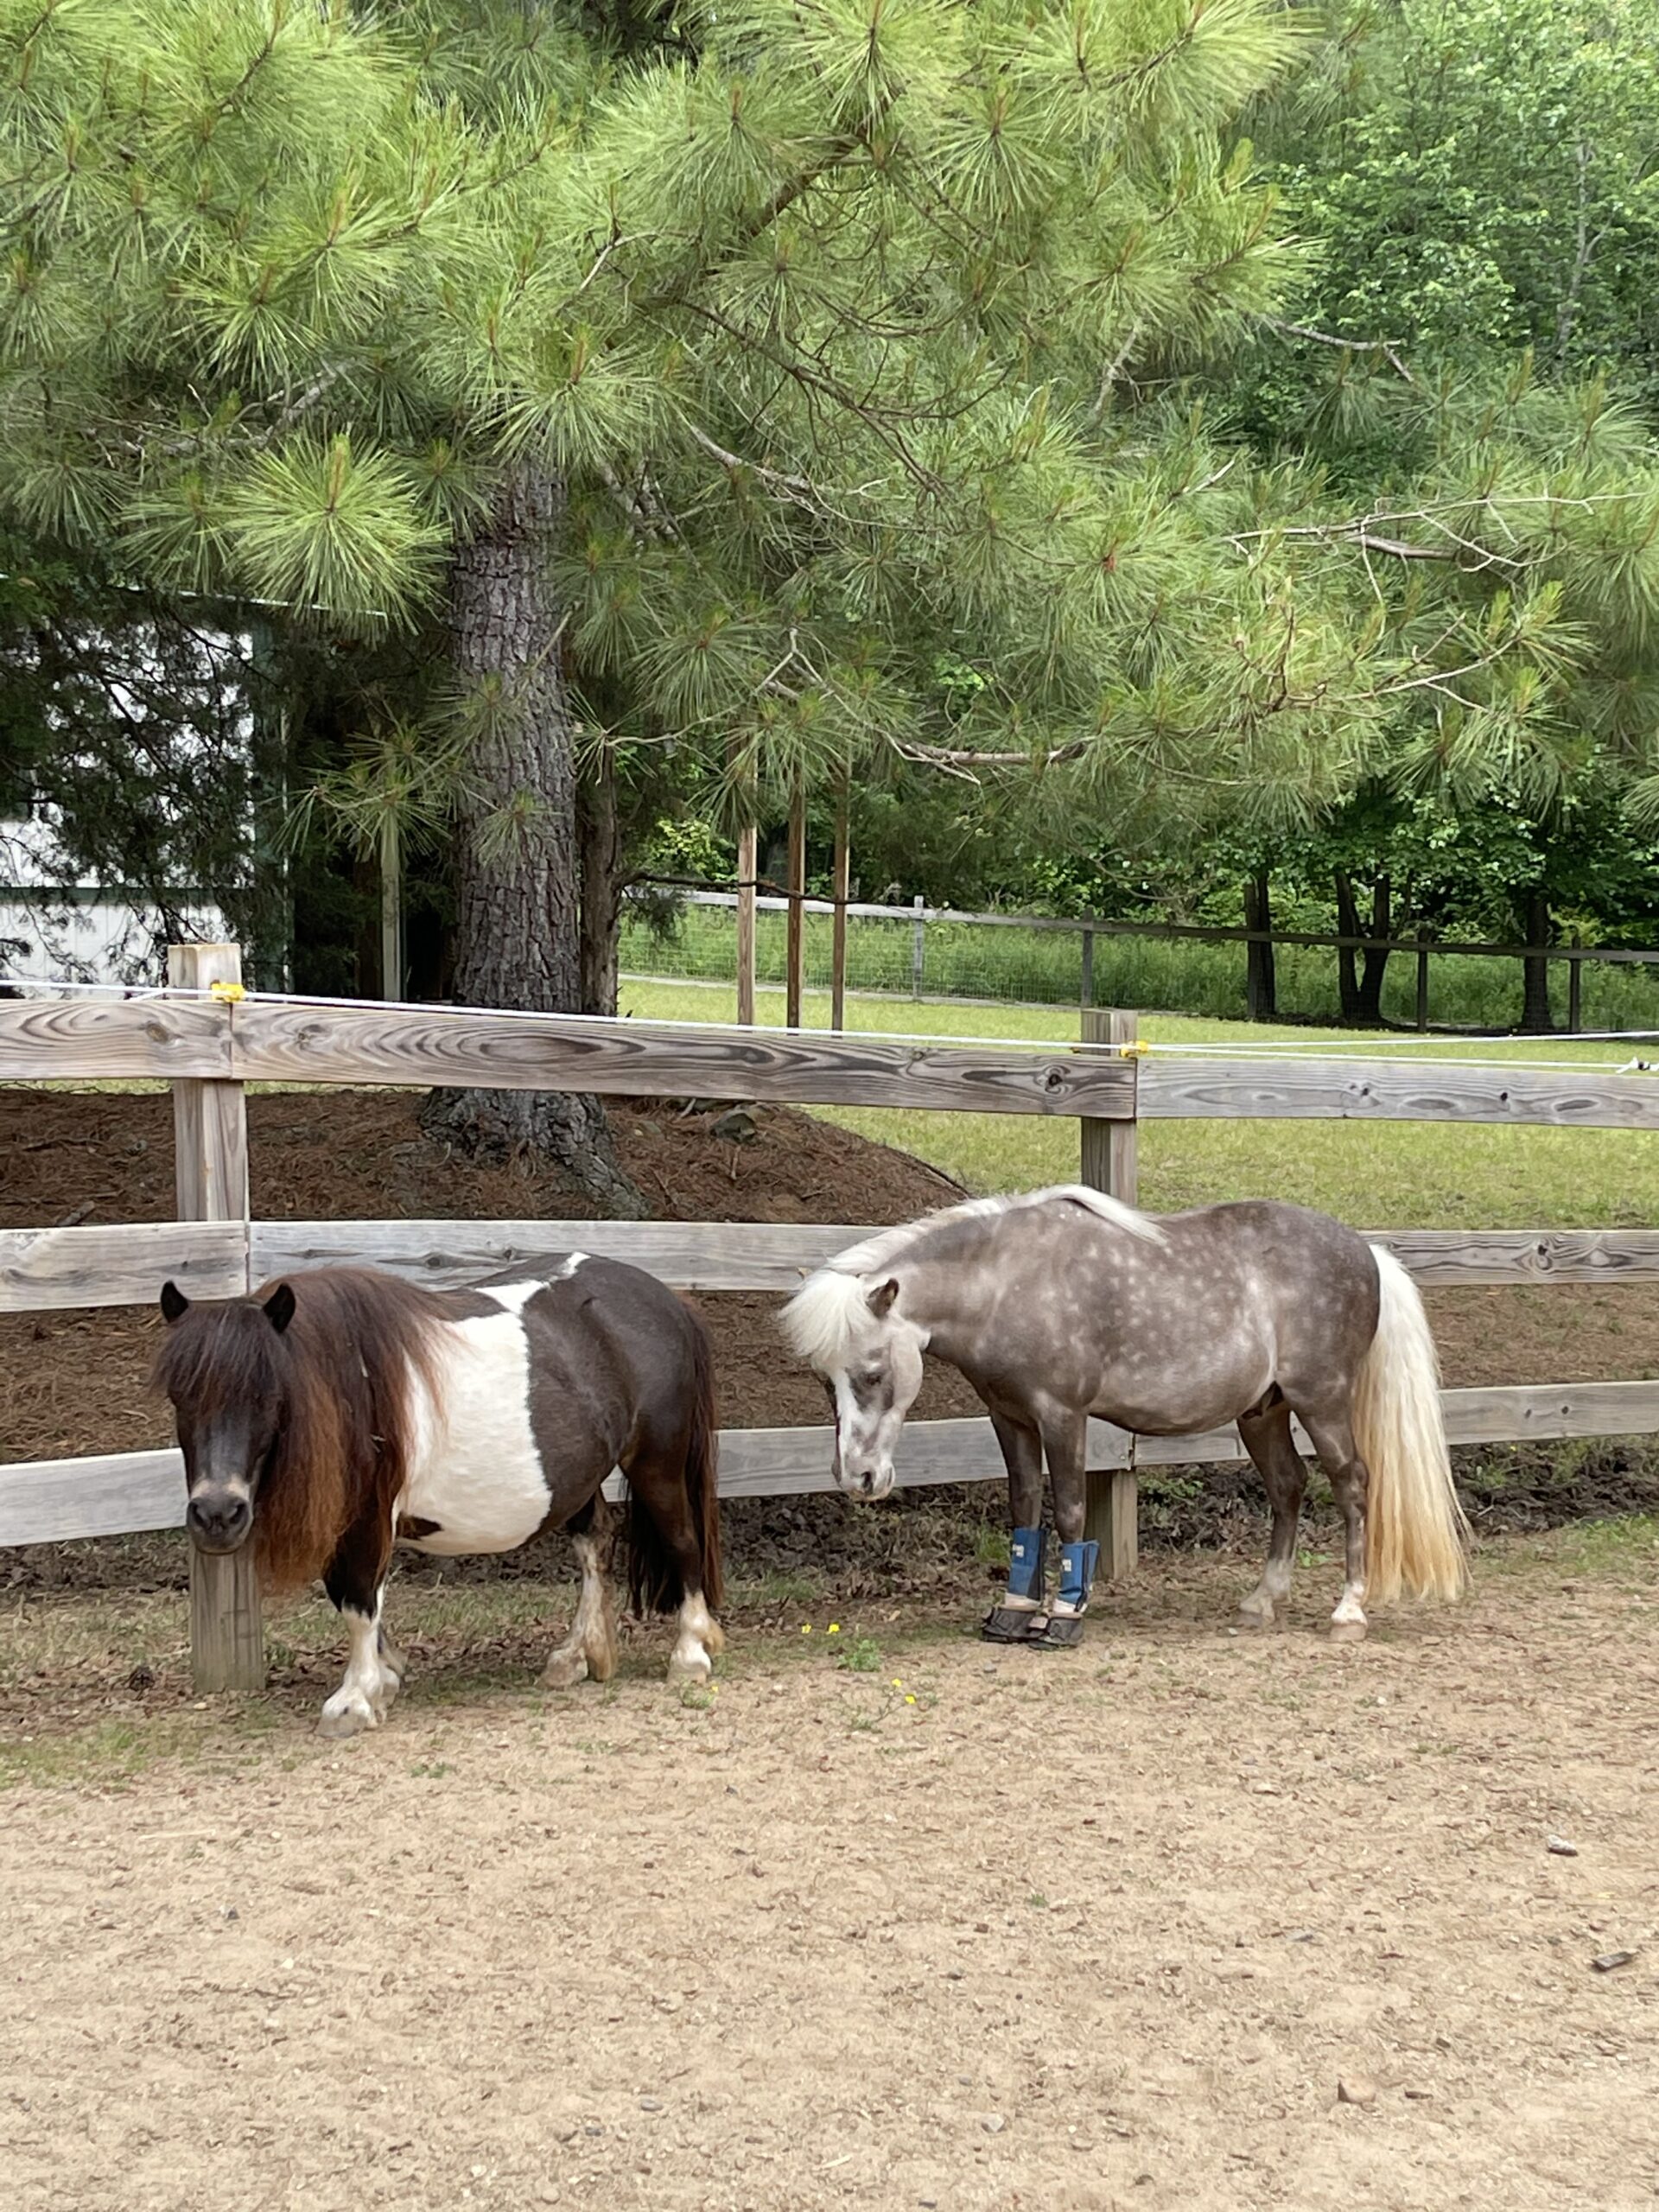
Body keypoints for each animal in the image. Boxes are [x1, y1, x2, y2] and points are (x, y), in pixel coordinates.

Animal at [156, 1256, 721, 1734]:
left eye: (268, 1395)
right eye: (179, 1396)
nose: (217, 1513)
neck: (351, 1381)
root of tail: (667, 1300)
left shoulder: (367, 1517)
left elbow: (358, 1600)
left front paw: (355, 1698)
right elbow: (353, 1597)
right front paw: (382, 1679)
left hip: (657, 1465)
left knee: (682, 1540)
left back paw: (690, 1651)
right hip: (579, 1480)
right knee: (594, 1545)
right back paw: (576, 1655)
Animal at [779, 1194, 1468, 1645]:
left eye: (872, 1373)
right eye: (824, 1379)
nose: (858, 1478)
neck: (1008, 1281)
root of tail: (1367, 1250)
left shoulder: (1062, 1415)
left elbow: (1070, 1510)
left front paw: (1063, 1615)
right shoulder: (1010, 1419)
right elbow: (1025, 1509)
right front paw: (1013, 1610)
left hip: (1322, 1401)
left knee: (1352, 1485)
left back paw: (1348, 1612)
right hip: (1262, 1413)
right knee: (1288, 1489)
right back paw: (1261, 1601)